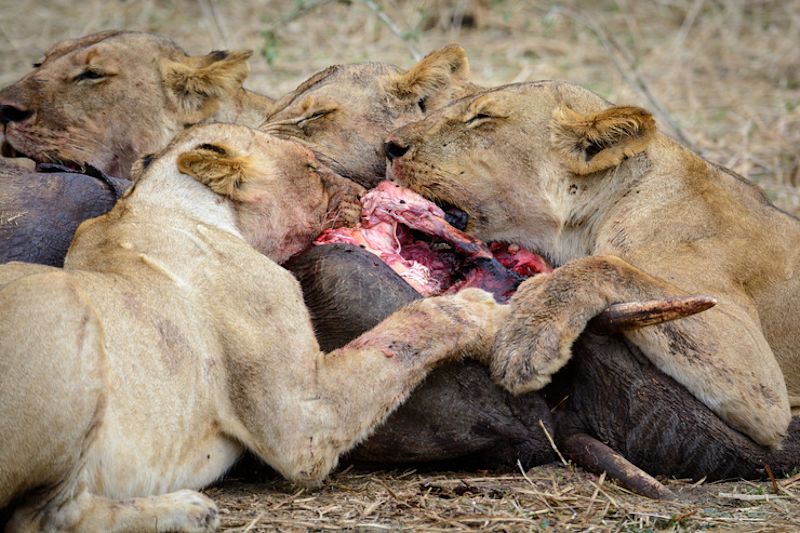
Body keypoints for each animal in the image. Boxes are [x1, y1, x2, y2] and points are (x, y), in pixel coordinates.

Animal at [0, 122, 510, 528]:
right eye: (311, 168)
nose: (362, 193)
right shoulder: (304, 422)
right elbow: (407, 329)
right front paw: (485, 309)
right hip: (60, 297)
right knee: (39, 518)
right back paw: (186, 511)